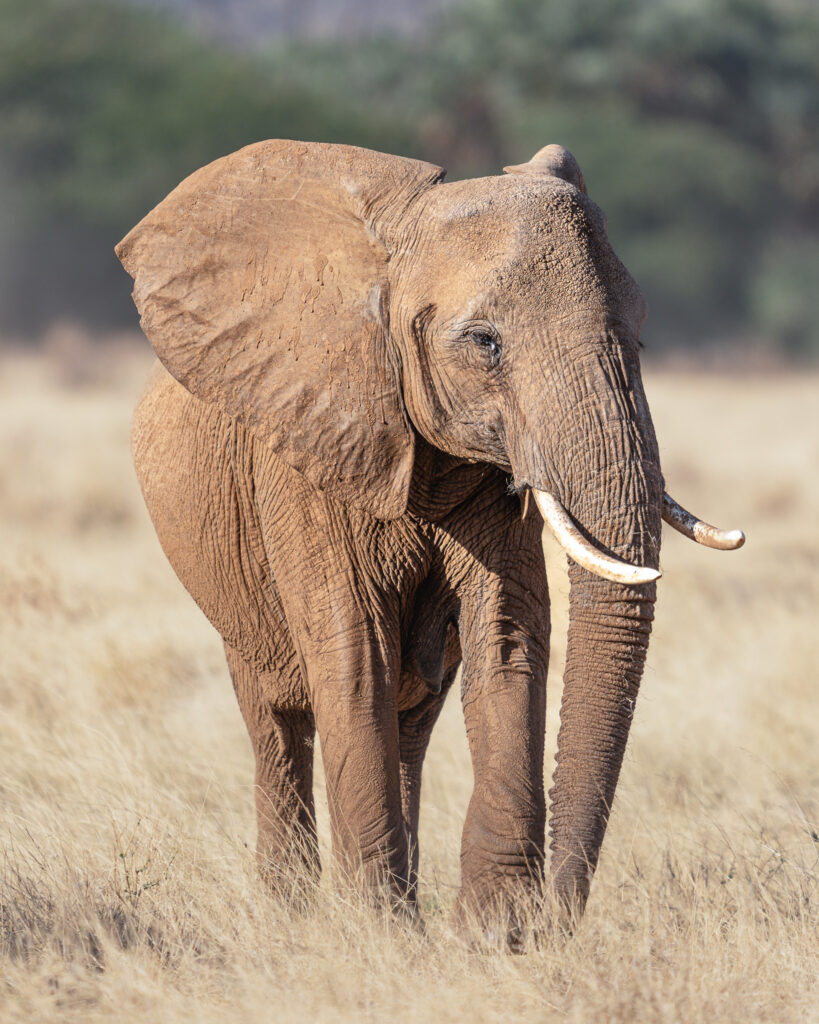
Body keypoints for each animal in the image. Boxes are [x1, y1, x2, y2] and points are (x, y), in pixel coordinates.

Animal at [116, 140, 743, 936]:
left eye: (639, 335)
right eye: (484, 343)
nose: (558, 919)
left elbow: (506, 637)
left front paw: (494, 930)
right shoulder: (303, 449)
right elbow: (355, 653)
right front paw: (376, 931)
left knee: (409, 725)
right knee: (275, 720)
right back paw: (295, 914)